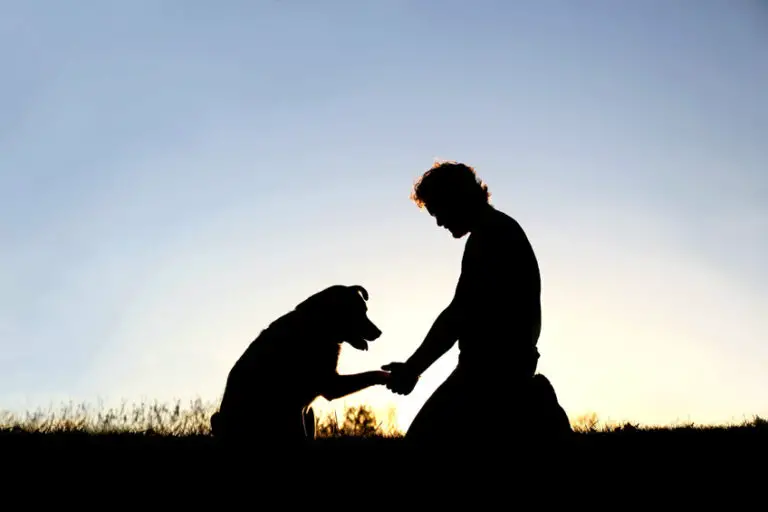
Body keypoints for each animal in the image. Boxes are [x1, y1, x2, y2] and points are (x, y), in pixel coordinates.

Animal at [208, 284, 388, 452]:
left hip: (308, 412)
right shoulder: (330, 385)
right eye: (359, 312)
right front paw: (388, 376)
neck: (317, 325)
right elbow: (371, 374)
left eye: (365, 311)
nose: (379, 332)